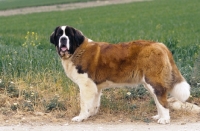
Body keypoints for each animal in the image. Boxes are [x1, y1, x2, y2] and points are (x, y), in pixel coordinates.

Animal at [50, 25, 191, 124]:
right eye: (59, 35)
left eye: (69, 35)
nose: (63, 39)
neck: (77, 50)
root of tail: (160, 45)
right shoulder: (95, 86)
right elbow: (94, 103)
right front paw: (91, 114)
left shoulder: (86, 85)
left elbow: (84, 103)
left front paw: (81, 117)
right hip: (149, 83)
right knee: (158, 99)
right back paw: (159, 116)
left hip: (154, 81)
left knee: (162, 100)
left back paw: (165, 119)